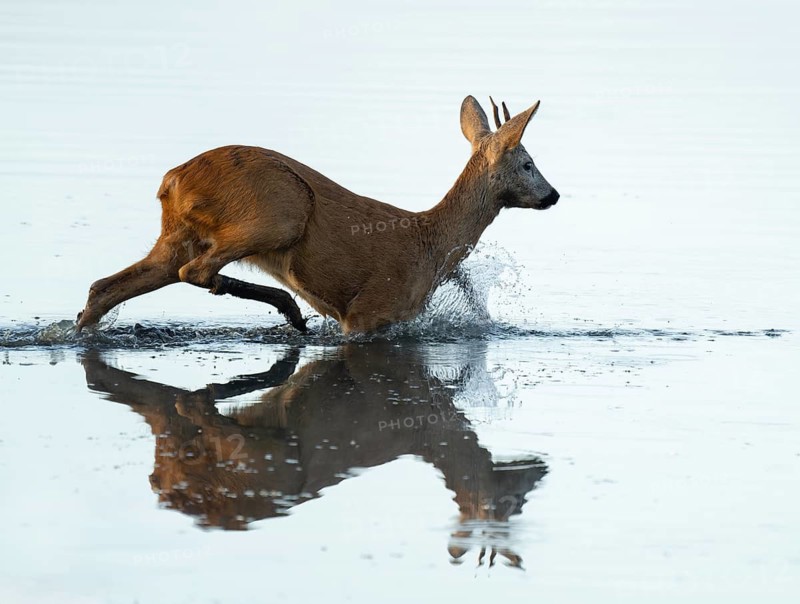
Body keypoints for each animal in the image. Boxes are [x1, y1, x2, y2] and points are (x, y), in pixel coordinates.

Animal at [75, 96, 559, 334]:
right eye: (528, 163)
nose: (553, 195)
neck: (431, 242)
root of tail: (173, 179)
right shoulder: (370, 310)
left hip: (177, 234)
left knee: (105, 286)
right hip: (280, 210)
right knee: (195, 271)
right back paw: (289, 309)